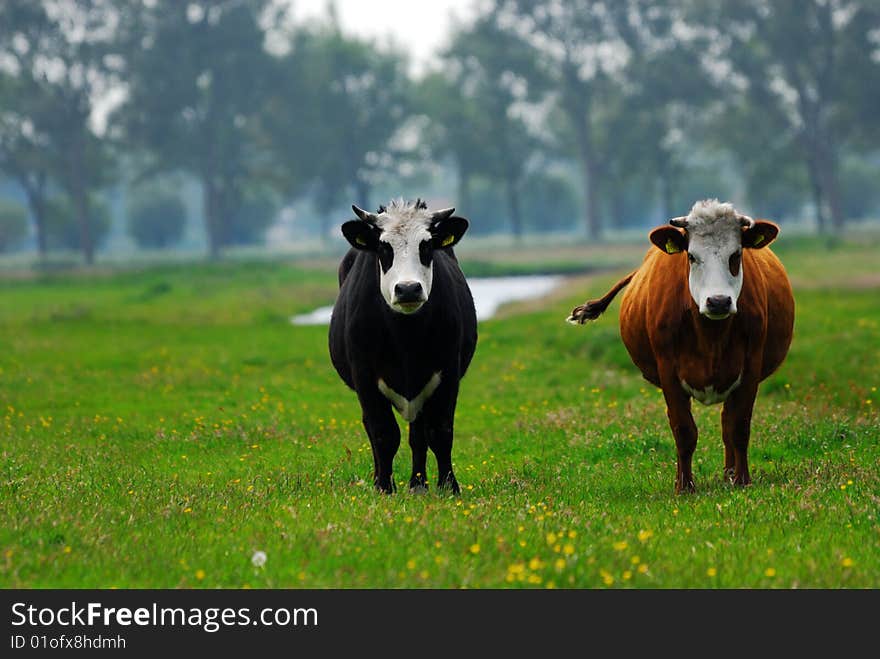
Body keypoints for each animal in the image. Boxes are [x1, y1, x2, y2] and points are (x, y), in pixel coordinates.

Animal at [330, 199, 478, 492]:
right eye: (383, 248)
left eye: (426, 246)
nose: (408, 288)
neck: (405, 338)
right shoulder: (364, 376)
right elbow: (383, 434)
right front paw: (384, 488)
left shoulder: (447, 371)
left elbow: (440, 431)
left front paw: (449, 486)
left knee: (418, 435)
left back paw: (418, 483)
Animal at [568, 201, 796, 496]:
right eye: (691, 257)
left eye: (736, 255)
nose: (718, 301)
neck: (711, 335)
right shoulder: (668, 372)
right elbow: (683, 430)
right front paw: (685, 486)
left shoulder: (750, 367)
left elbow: (739, 427)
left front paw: (742, 480)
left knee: (727, 423)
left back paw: (729, 474)